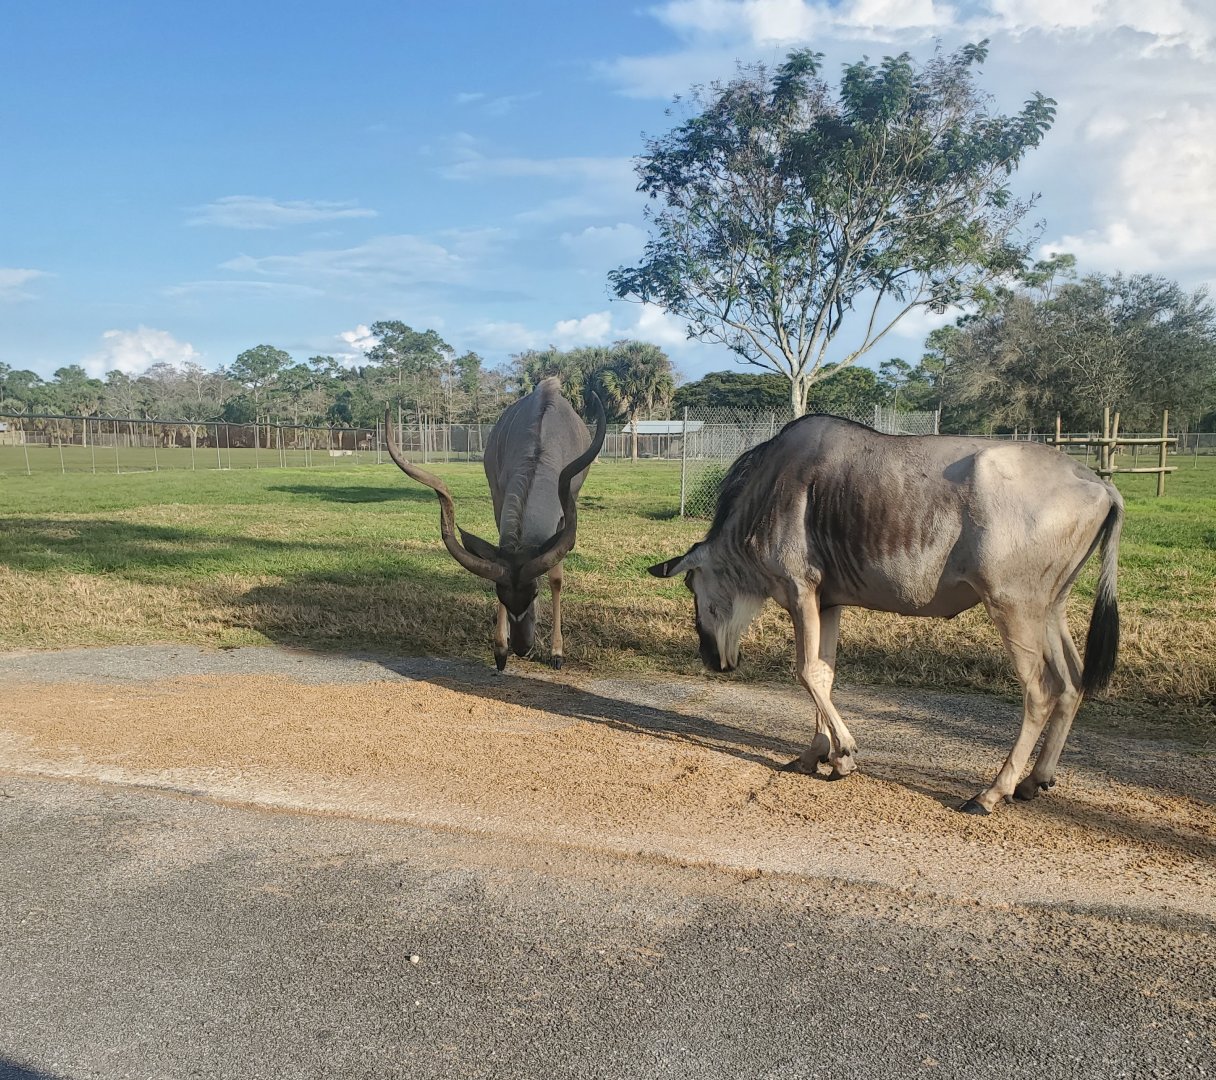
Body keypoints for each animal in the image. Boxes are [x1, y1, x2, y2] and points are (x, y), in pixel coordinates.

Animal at [386, 377, 606, 671]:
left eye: (534, 593)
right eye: (501, 595)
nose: (522, 648)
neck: (542, 442)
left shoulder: (566, 508)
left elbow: (556, 579)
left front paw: (557, 653)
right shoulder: (499, 497)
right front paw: (500, 651)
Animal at [649, 415, 1122, 815]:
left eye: (692, 587)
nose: (712, 660)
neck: (771, 491)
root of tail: (1100, 486)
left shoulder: (801, 590)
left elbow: (806, 671)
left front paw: (844, 754)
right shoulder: (827, 601)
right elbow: (824, 671)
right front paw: (817, 754)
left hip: (1014, 608)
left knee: (1040, 691)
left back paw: (991, 793)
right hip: (1050, 610)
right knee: (1072, 681)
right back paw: (1033, 781)